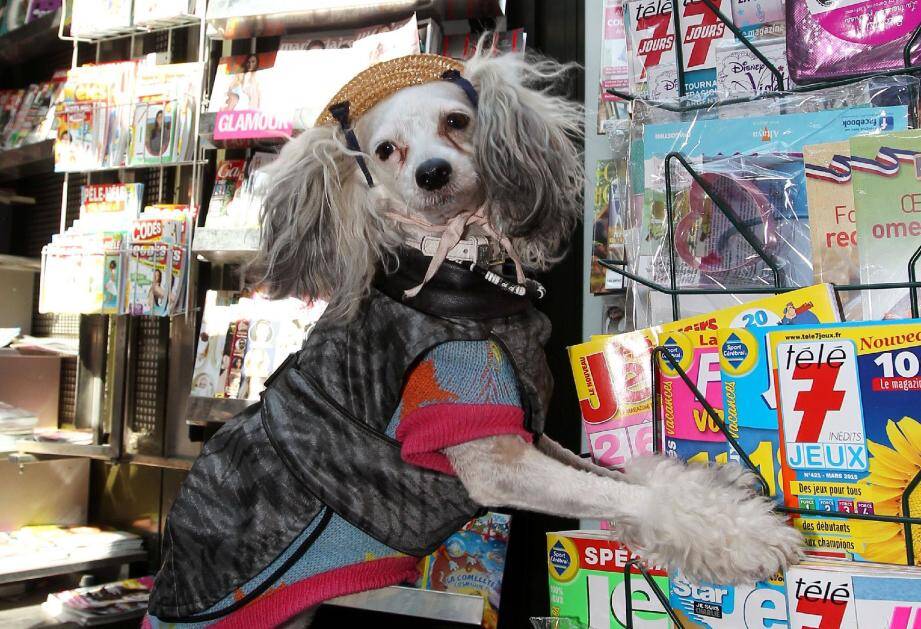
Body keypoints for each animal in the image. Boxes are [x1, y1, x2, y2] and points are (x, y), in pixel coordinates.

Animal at [250, 47, 796, 584]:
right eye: (385, 150)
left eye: (456, 121)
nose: (432, 172)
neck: (453, 269)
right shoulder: (491, 457)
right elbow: (626, 495)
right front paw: (740, 535)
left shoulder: (530, 434)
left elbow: (616, 476)